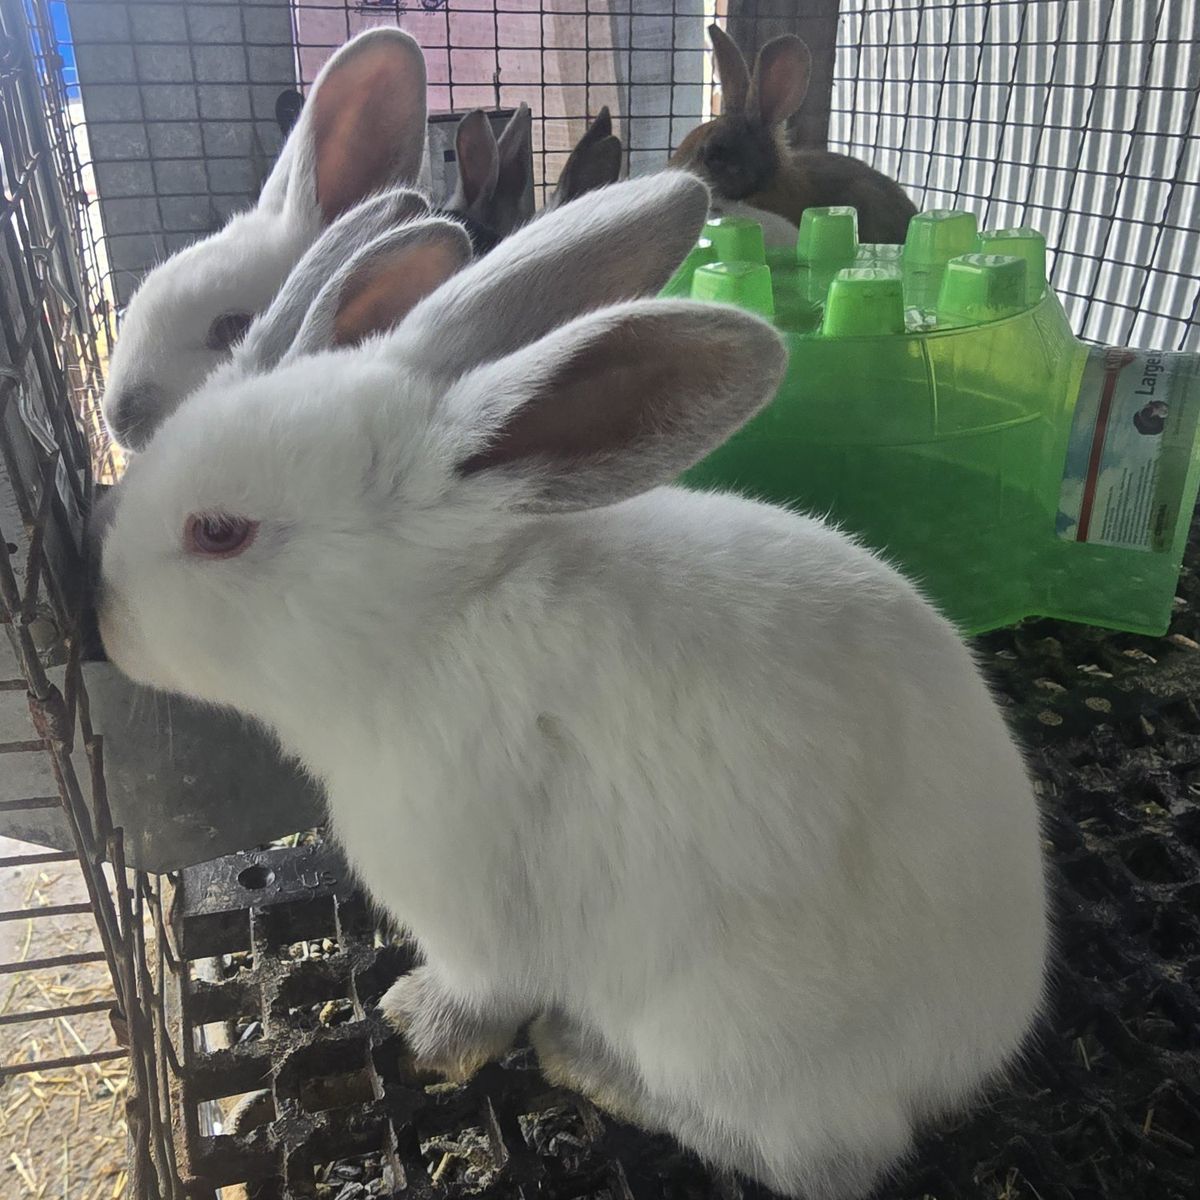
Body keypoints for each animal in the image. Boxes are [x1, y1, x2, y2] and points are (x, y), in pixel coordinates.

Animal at [96, 171, 1048, 1200]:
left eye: (219, 532)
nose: (103, 612)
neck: (436, 621)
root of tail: (977, 1047)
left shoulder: (465, 905)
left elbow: (479, 993)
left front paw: (416, 1020)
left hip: (724, 1029)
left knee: (820, 1159)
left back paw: (588, 1060)